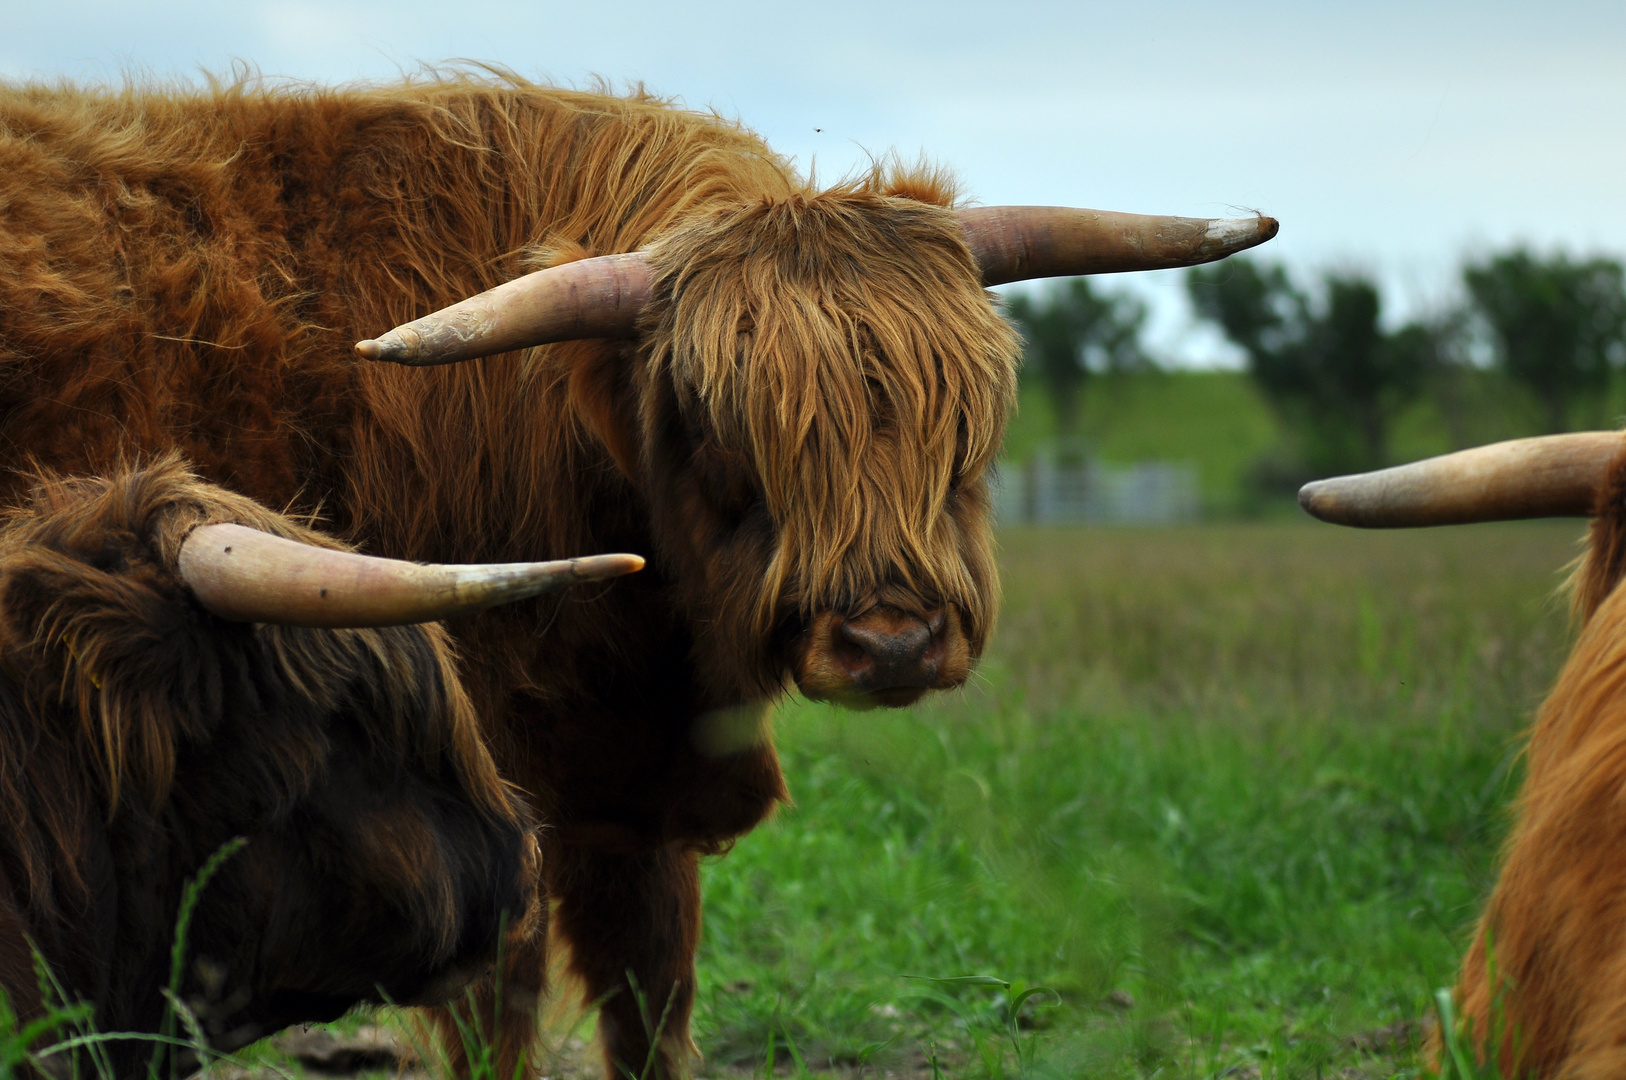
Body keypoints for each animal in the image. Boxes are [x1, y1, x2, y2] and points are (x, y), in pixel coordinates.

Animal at [0, 76, 1274, 1080]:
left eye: (966, 418)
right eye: (721, 427)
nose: (892, 643)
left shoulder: (632, 793)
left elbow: (651, 995)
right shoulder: (478, 784)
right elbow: (501, 1013)